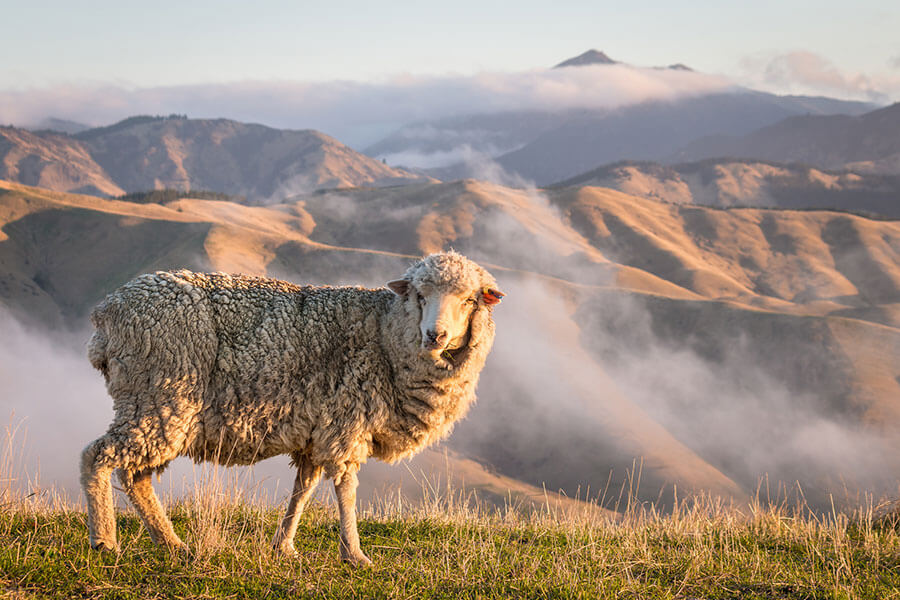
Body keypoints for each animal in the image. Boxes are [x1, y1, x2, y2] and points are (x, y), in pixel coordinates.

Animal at [80, 251, 502, 564]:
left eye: (469, 300)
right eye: (420, 296)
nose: (435, 336)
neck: (385, 334)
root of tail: (105, 315)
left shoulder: (317, 430)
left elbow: (304, 489)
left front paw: (284, 545)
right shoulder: (347, 422)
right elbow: (346, 488)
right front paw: (354, 554)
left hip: (155, 406)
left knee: (135, 476)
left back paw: (171, 543)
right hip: (161, 397)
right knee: (97, 456)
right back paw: (105, 539)